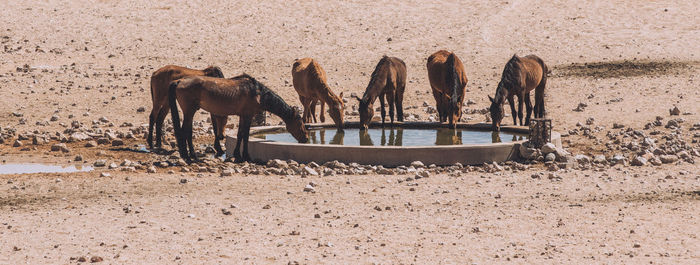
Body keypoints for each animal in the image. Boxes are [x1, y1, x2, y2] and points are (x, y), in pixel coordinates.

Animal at [168, 73, 308, 162]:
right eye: (299, 122)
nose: (306, 138)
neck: (258, 93)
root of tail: (179, 81)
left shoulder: (243, 116)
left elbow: (240, 134)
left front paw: (237, 155)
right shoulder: (248, 115)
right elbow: (245, 135)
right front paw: (246, 156)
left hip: (190, 112)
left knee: (186, 132)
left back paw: (190, 155)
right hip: (189, 111)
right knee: (185, 132)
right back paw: (190, 156)